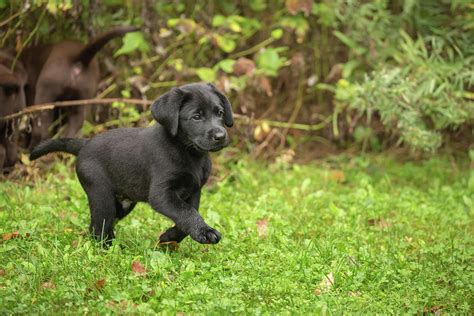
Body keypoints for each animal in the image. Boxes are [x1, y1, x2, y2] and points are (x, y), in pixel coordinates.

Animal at [29, 83, 233, 244]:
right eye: (196, 117)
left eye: (220, 113)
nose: (220, 136)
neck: (188, 152)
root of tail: (85, 144)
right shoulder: (162, 195)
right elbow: (187, 212)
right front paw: (204, 232)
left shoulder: (194, 191)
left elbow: (188, 215)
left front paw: (169, 237)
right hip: (101, 195)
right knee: (99, 227)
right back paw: (107, 250)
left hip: (123, 204)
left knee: (100, 226)